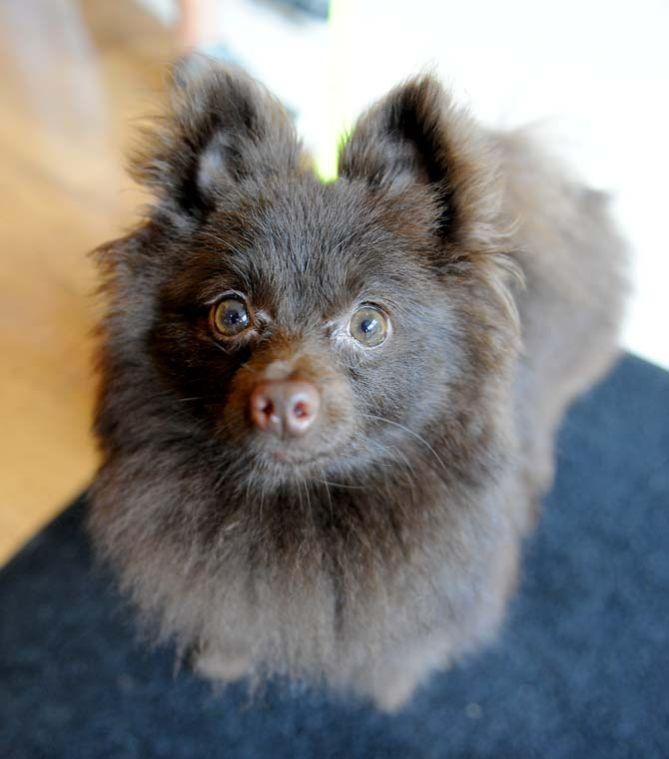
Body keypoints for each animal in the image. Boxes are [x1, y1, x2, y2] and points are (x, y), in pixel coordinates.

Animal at [87, 55, 628, 712]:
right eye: (232, 315)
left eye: (368, 324)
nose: (283, 400)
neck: (306, 505)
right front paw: (223, 662)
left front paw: (389, 691)